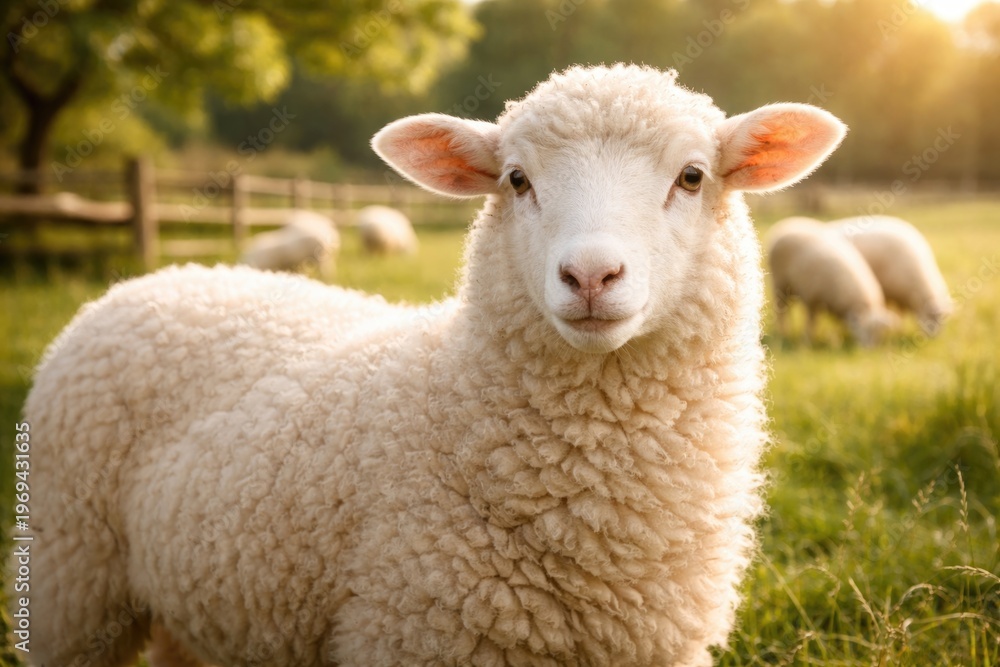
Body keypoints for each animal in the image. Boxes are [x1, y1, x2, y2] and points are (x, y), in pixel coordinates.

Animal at [20, 64, 845, 667]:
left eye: (693, 176)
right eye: (517, 179)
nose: (590, 275)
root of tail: (163, 275)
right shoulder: (417, 624)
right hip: (72, 577)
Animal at [766, 216, 898, 346]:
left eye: (879, 334)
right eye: (865, 329)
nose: (869, 349)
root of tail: (784, 225)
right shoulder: (812, 298)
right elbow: (811, 321)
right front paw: (808, 340)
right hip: (779, 283)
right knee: (781, 310)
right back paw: (783, 332)